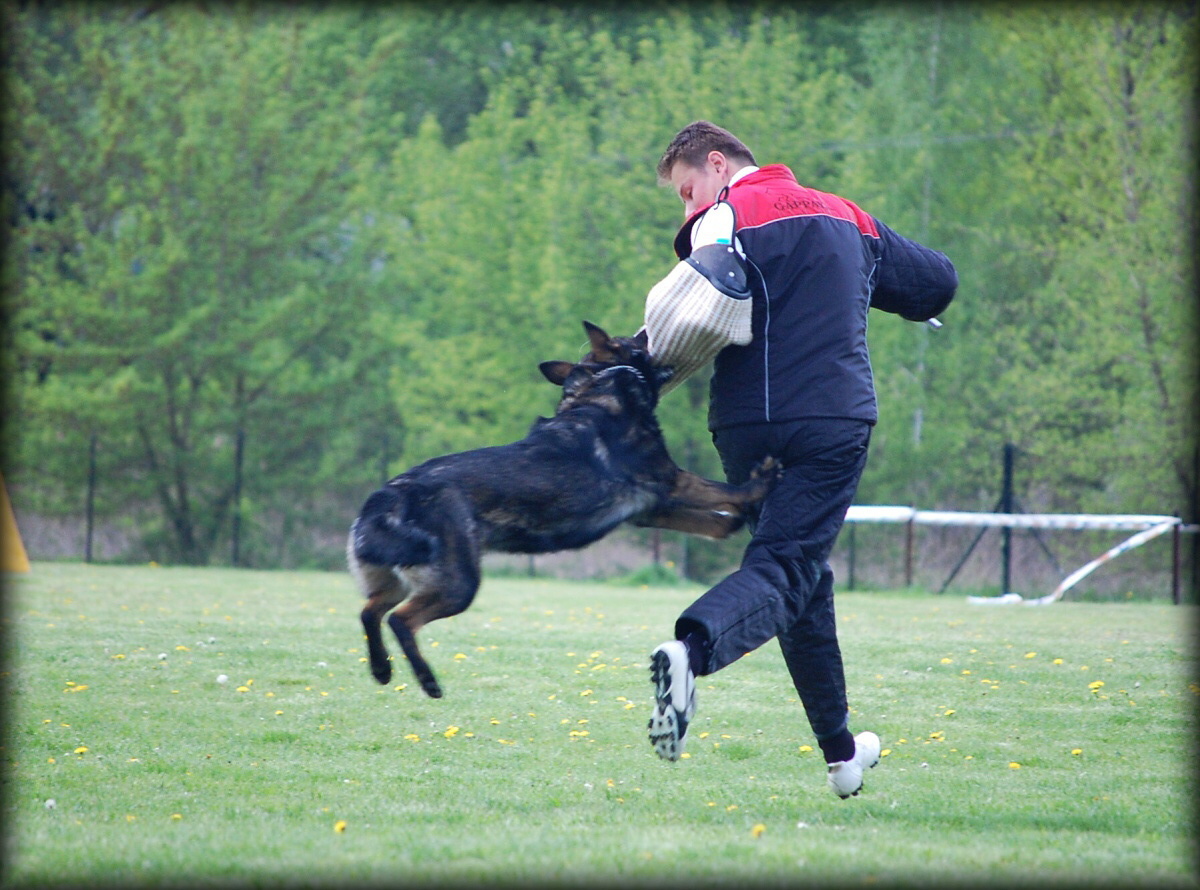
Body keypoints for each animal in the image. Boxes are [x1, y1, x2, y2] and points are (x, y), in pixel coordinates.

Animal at [348, 323, 782, 700]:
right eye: (635, 339)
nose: (648, 329)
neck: (602, 386)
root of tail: (387, 497)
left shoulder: (652, 508)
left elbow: (712, 521)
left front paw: (734, 522)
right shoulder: (672, 481)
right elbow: (723, 490)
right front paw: (758, 485)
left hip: (399, 579)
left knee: (369, 611)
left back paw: (381, 669)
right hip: (457, 584)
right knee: (400, 620)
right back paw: (427, 681)